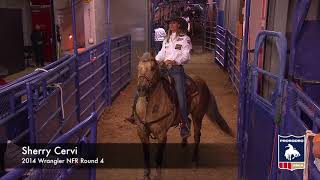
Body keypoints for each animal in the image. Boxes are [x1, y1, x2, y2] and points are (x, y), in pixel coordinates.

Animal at [131, 52, 234, 180]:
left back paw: (194, 161)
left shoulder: (161, 134)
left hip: (198, 116)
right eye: (138, 68)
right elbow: (146, 155)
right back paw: (184, 139)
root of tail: (204, 83)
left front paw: (157, 175)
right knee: (187, 121)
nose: (141, 89)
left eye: (153, 68)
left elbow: (158, 156)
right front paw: (146, 175)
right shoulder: (142, 132)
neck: (148, 107)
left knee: (197, 135)